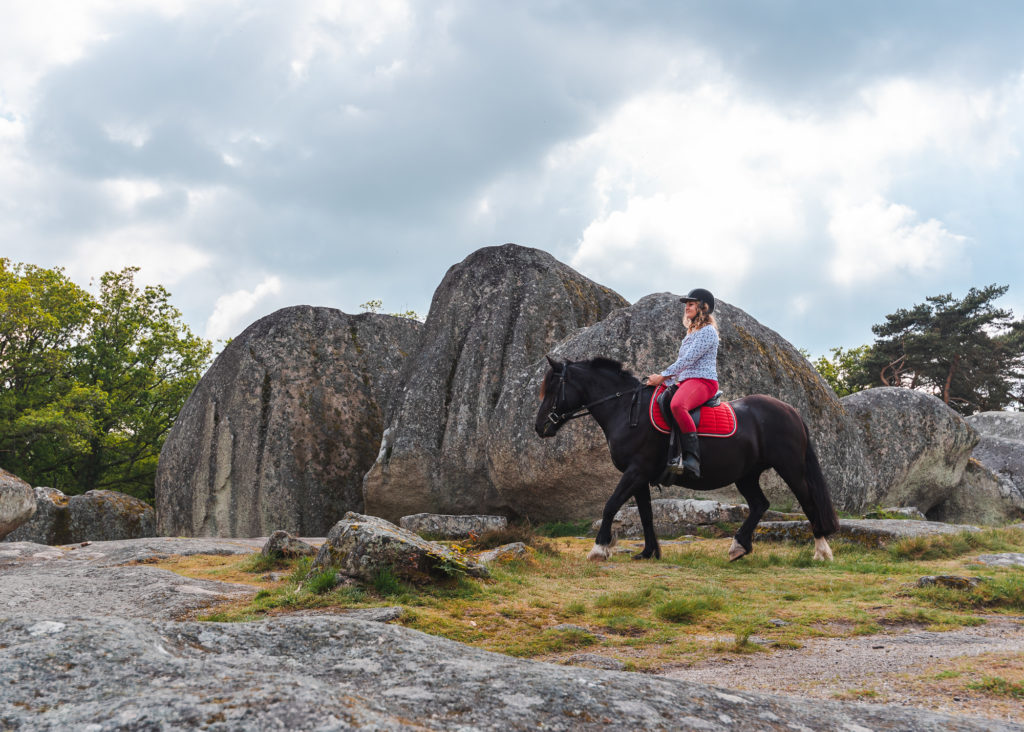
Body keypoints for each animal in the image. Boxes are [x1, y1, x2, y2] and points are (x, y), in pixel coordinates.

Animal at [532, 358, 835, 565]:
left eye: (552, 389)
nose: (539, 427)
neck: (627, 409)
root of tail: (790, 410)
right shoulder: (640, 477)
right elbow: (645, 515)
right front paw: (648, 552)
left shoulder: (635, 471)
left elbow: (610, 505)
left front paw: (599, 549)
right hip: (746, 475)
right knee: (760, 504)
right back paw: (739, 547)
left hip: (790, 468)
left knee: (808, 502)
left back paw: (821, 551)